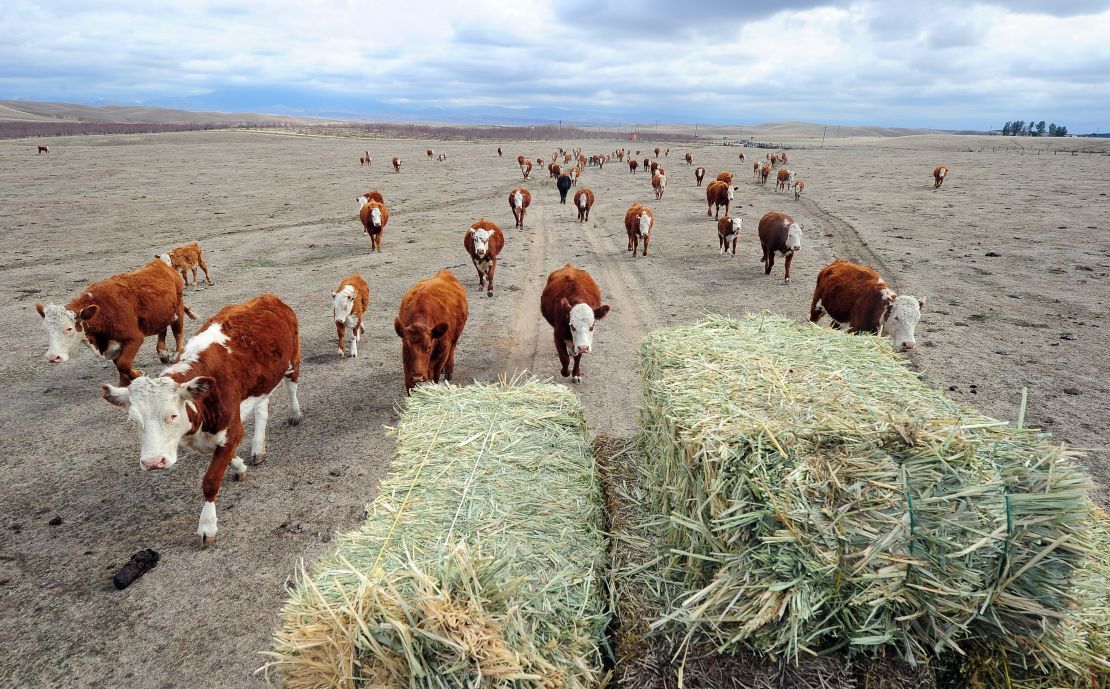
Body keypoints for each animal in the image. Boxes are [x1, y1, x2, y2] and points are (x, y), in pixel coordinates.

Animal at [35, 259, 194, 386]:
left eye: (69, 329)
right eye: (45, 330)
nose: (52, 357)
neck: (102, 310)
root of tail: (161, 263)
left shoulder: (134, 338)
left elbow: (123, 363)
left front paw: (137, 375)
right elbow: (118, 364)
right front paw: (123, 382)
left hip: (178, 309)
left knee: (178, 332)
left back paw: (178, 355)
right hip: (161, 313)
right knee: (162, 329)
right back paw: (162, 352)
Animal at [102, 292, 304, 545]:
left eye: (173, 414)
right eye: (133, 421)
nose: (153, 462)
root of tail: (267, 297)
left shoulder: (231, 428)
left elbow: (211, 480)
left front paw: (207, 526)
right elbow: (227, 456)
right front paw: (240, 465)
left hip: (292, 359)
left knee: (291, 387)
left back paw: (294, 414)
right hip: (261, 384)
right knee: (262, 410)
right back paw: (258, 448)